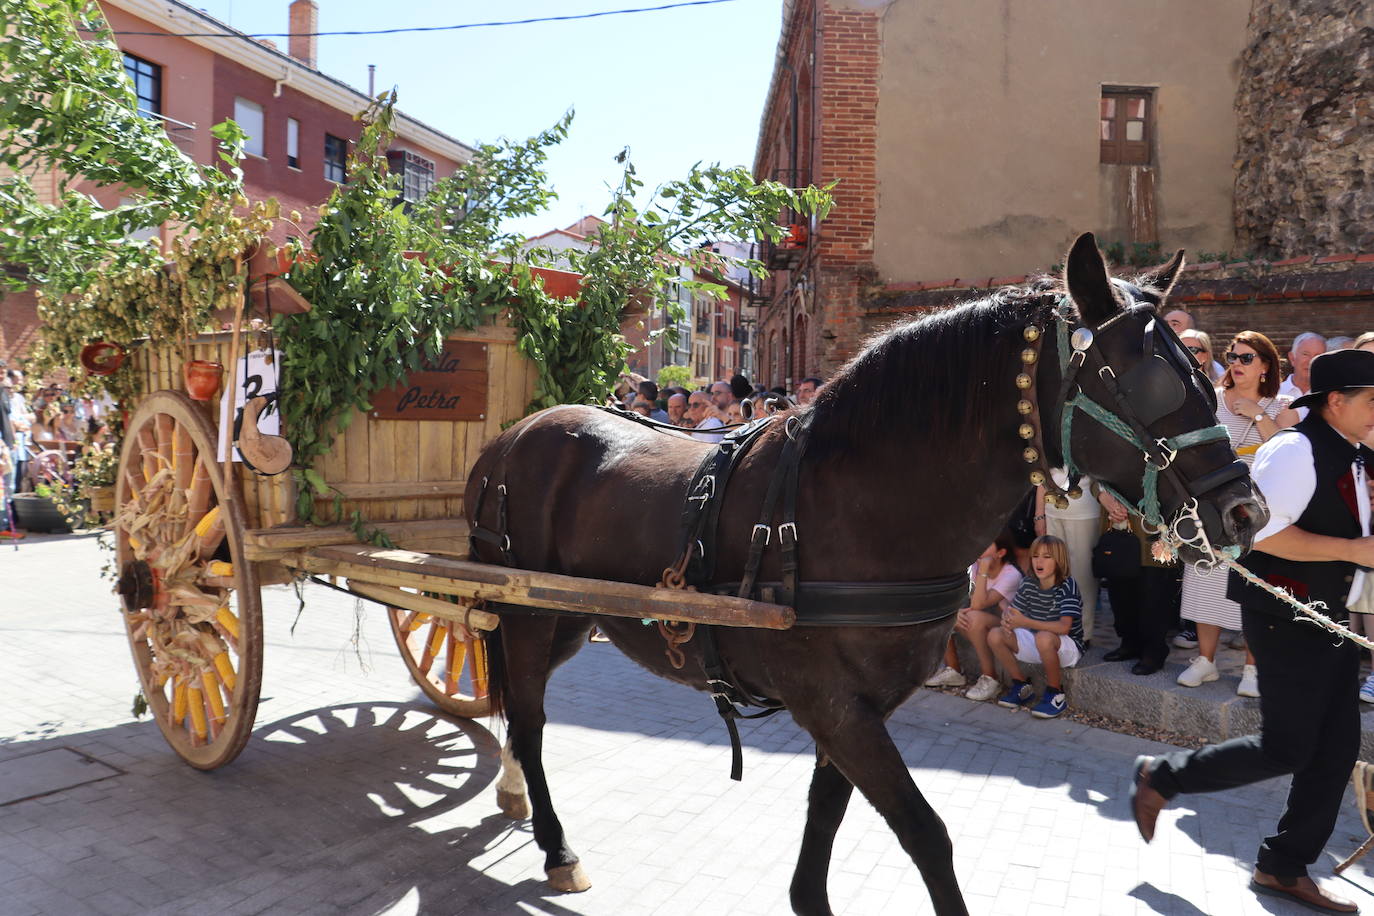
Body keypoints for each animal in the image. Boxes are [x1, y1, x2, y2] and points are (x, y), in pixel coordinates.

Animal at [464, 236, 1264, 916]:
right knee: (529, 719)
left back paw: (514, 795)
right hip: (529, 617)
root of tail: (511, 437)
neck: (852, 502)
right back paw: (555, 845)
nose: (1244, 510)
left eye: (1207, 373)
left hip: (567, 618)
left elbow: (828, 814)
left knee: (522, 714)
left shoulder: (853, 710)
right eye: (1147, 382)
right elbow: (924, 832)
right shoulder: (834, 705)